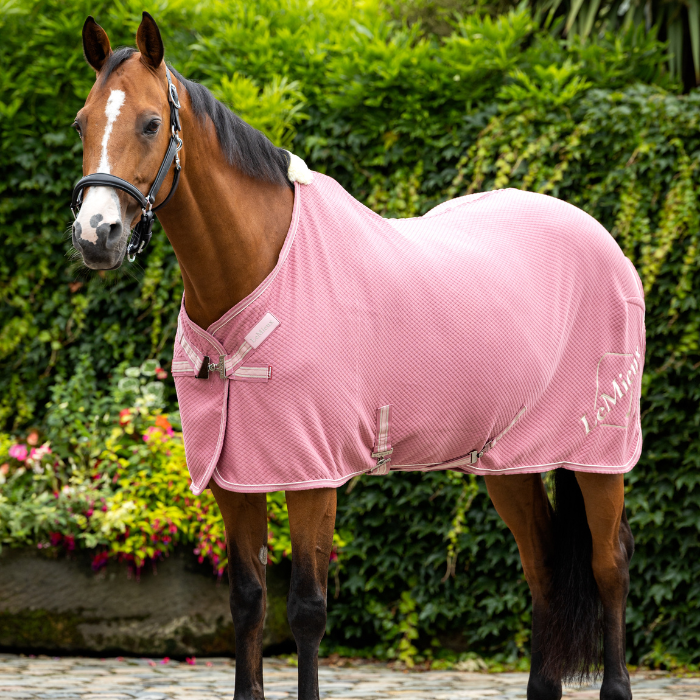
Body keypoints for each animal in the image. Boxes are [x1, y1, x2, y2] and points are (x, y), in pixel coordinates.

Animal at [70, 13, 642, 700]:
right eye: (81, 122)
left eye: (151, 123)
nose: (95, 235)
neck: (260, 271)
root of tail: (603, 239)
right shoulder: (234, 477)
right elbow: (247, 600)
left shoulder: (313, 472)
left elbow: (307, 609)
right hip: (509, 462)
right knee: (546, 567)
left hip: (600, 453)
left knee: (608, 564)